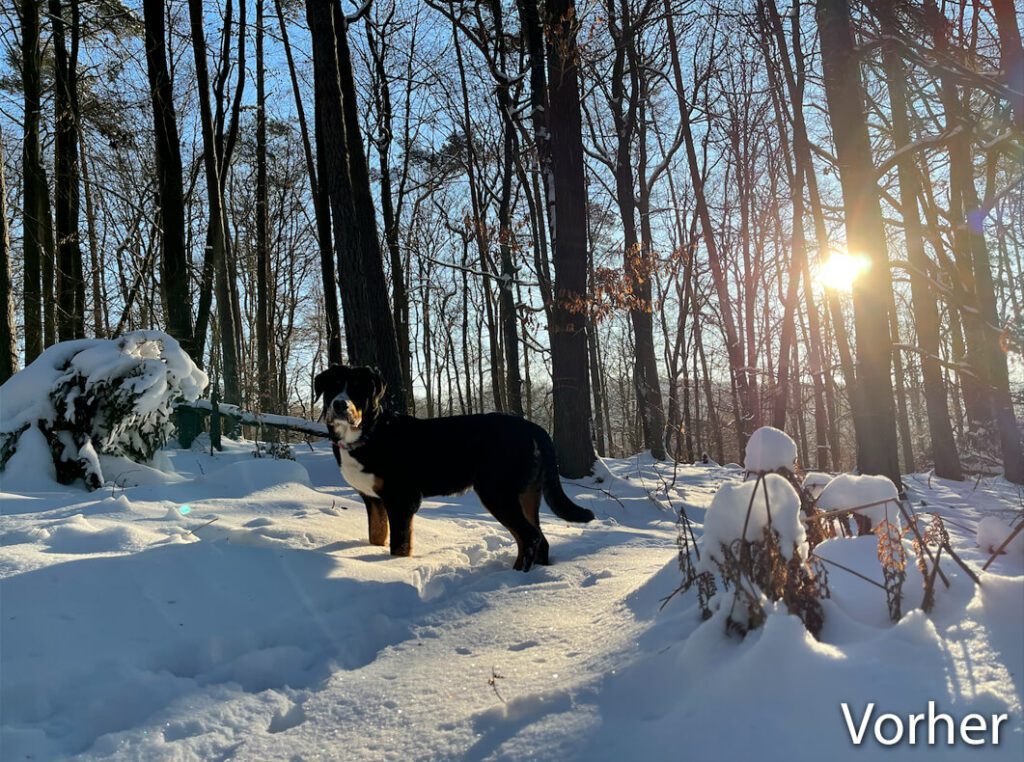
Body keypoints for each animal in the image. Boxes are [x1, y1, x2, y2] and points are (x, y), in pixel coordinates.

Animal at [311, 364, 593, 573]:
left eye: (358, 390)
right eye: (333, 387)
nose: (340, 405)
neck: (370, 433)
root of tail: (532, 427)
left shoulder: (401, 499)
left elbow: (399, 545)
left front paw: (395, 568)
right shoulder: (373, 499)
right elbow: (377, 535)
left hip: (496, 492)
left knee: (530, 537)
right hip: (526, 495)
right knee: (539, 539)